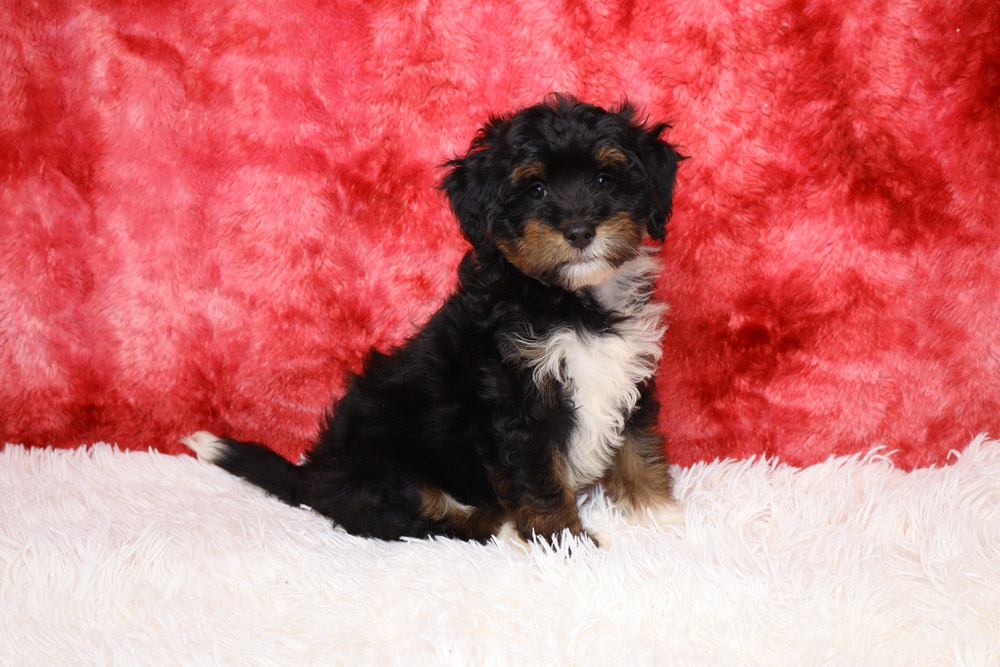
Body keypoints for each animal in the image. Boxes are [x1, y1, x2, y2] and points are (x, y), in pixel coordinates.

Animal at [183, 95, 685, 546]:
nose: (580, 231)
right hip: (384, 469)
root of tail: (314, 479)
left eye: (605, 179)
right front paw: (563, 542)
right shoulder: (518, 400)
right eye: (535, 189)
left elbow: (639, 447)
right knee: (416, 519)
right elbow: (539, 477)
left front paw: (660, 515)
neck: (571, 301)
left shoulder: (629, 373)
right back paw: (498, 527)